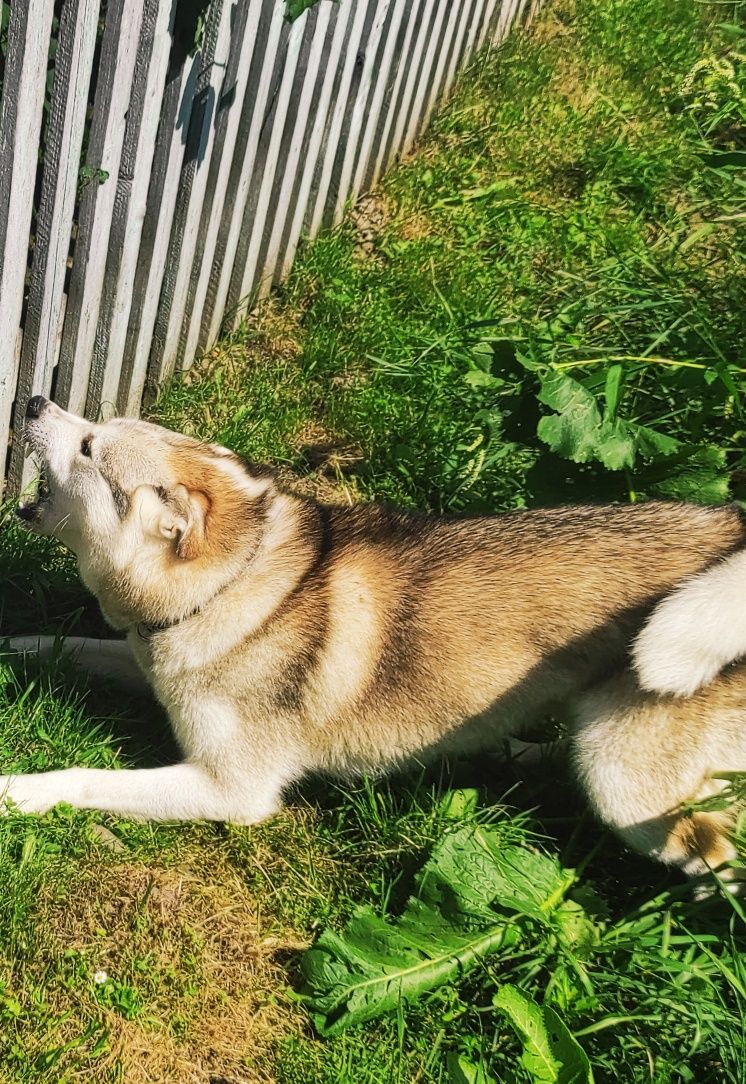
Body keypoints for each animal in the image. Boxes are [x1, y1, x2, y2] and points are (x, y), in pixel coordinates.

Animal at [5, 398, 746, 888]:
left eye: (89, 447)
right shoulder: (141, 660)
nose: (35, 398)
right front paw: (11, 645)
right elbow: (59, 644)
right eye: (93, 426)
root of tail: (729, 532)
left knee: (716, 849)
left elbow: (87, 778)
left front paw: (19, 793)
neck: (233, 583)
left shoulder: (231, 790)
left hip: (624, 778)